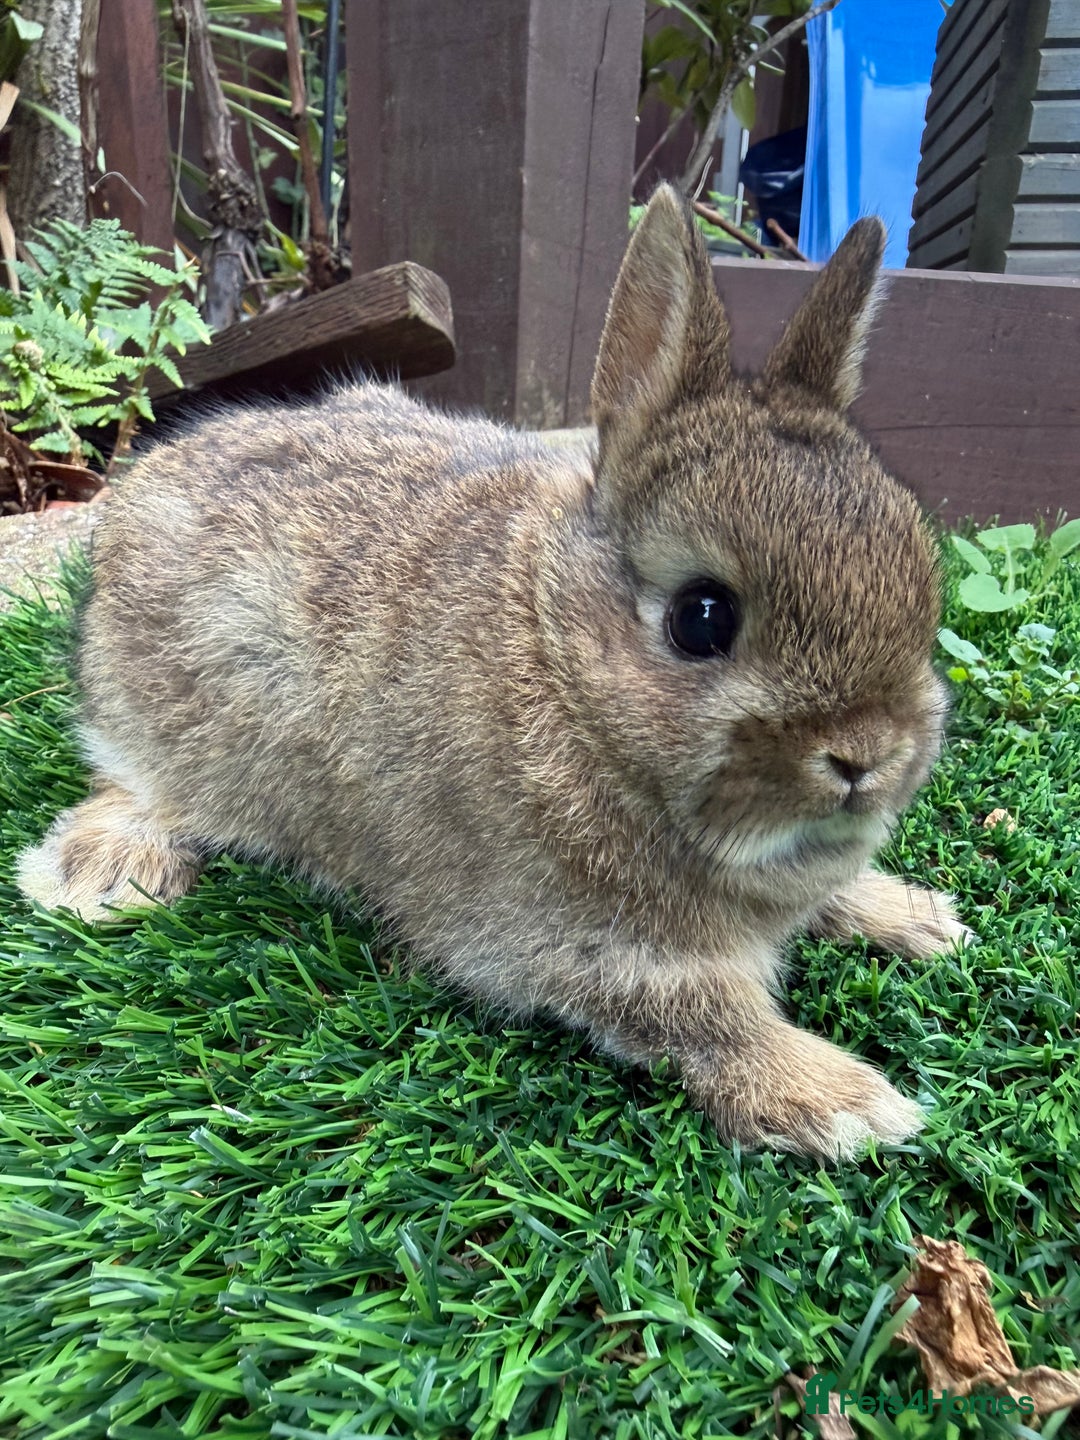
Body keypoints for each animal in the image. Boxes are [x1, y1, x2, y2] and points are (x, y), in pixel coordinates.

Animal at [16, 185, 971, 1161]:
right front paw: (848, 1104)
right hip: (162, 728)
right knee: (128, 781)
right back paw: (100, 878)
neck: (561, 663)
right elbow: (704, 1016)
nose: (867, 757)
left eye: (921, 590)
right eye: (702, 618)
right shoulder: (560, 943)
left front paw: (922, 921)